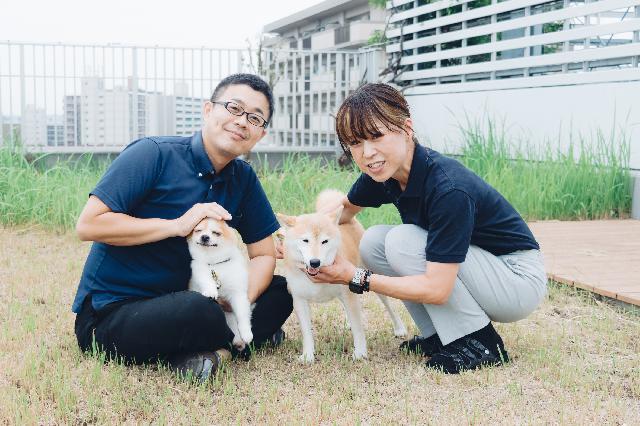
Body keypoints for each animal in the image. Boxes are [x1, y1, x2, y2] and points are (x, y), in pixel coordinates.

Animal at [185, 218, 252, 352]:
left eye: (216, 233)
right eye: (198, 230)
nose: (205, 237)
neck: (215, 264)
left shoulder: (238, 294)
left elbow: (242, 314)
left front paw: (246, 332)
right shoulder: (200, 269)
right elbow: (206, 280)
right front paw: (211, 291)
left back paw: (239, 341)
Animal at [276, 190, 404, 362]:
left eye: (324, 241)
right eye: (305, 240)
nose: (315, 262)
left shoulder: (348, 292)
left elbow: (358, 329)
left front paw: (360, 353)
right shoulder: (299, 300)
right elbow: (307, 333)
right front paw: (308, 356)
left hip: (369, 278)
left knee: (389, 306)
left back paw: (399, 328)